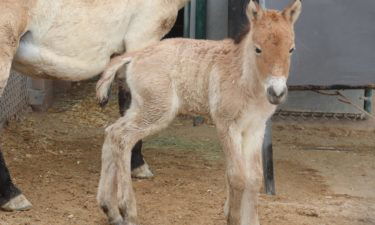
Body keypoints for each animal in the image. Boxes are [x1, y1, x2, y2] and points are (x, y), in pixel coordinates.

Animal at [95, 0, 302, 224]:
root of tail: (135, 55)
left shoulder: (255, 128)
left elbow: (254, 177)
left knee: (112, 133)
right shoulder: (227, 124)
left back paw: (110, 210)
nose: (276, 92)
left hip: (142, 107)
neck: (245, 79)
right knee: (122, 137)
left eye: (291, 49)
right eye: (258, 49)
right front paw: (233, 217)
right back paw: (128, 210)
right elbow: (237, 176)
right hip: (156, 111)